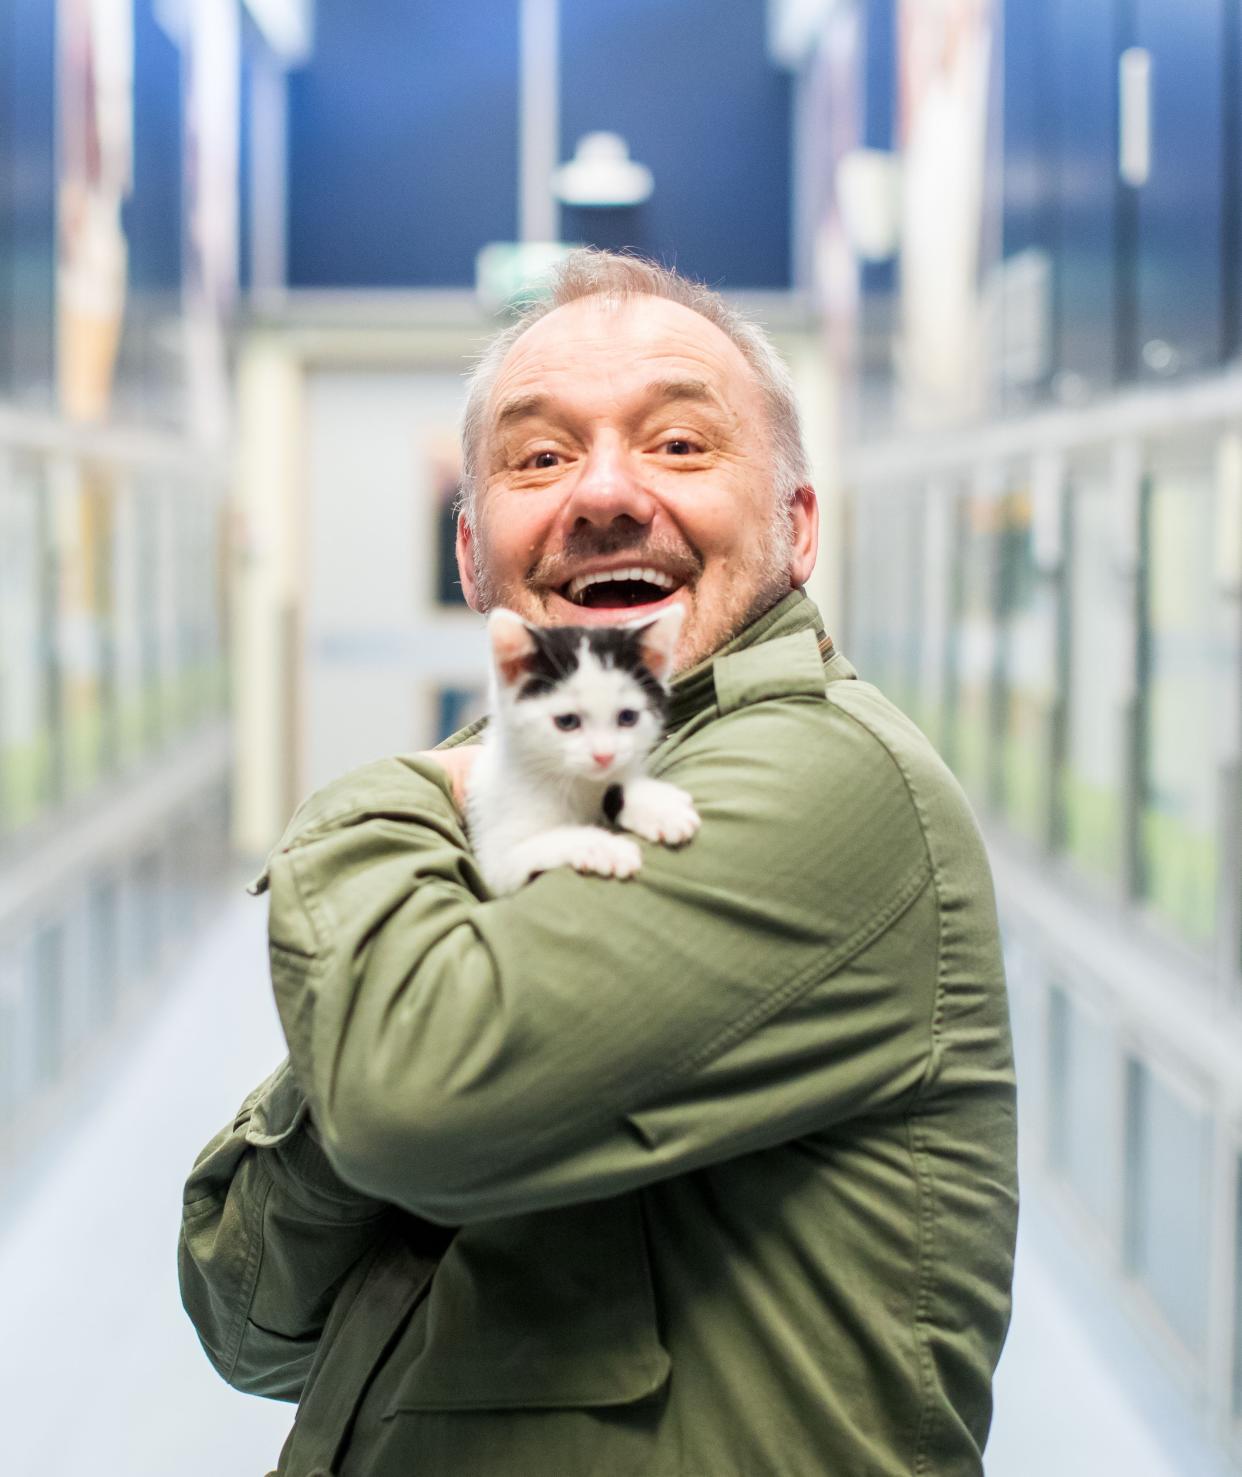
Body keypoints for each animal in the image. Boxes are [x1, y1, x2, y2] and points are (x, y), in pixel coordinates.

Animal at [466, 605, 697, 892]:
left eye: (627, 717)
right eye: (567, 721)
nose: (604, 756)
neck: (574, 782)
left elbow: (616, 787)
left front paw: (659, 807)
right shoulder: (498, 866)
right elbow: (548, 841)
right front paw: (604, 848)